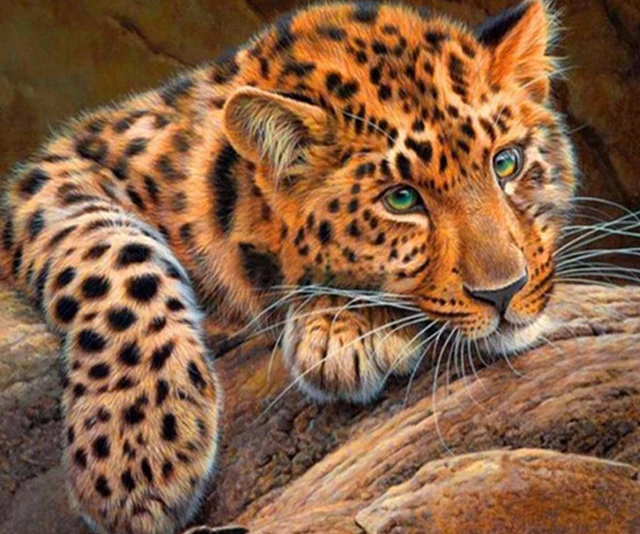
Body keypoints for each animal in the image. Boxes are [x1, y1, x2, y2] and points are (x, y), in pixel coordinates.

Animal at [0, 1, 577, 533]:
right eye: (401, 199)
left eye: (506, 163)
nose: (505, 291)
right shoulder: (59, 171)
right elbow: (114, 250)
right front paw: (137, 448)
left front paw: (343, 327)